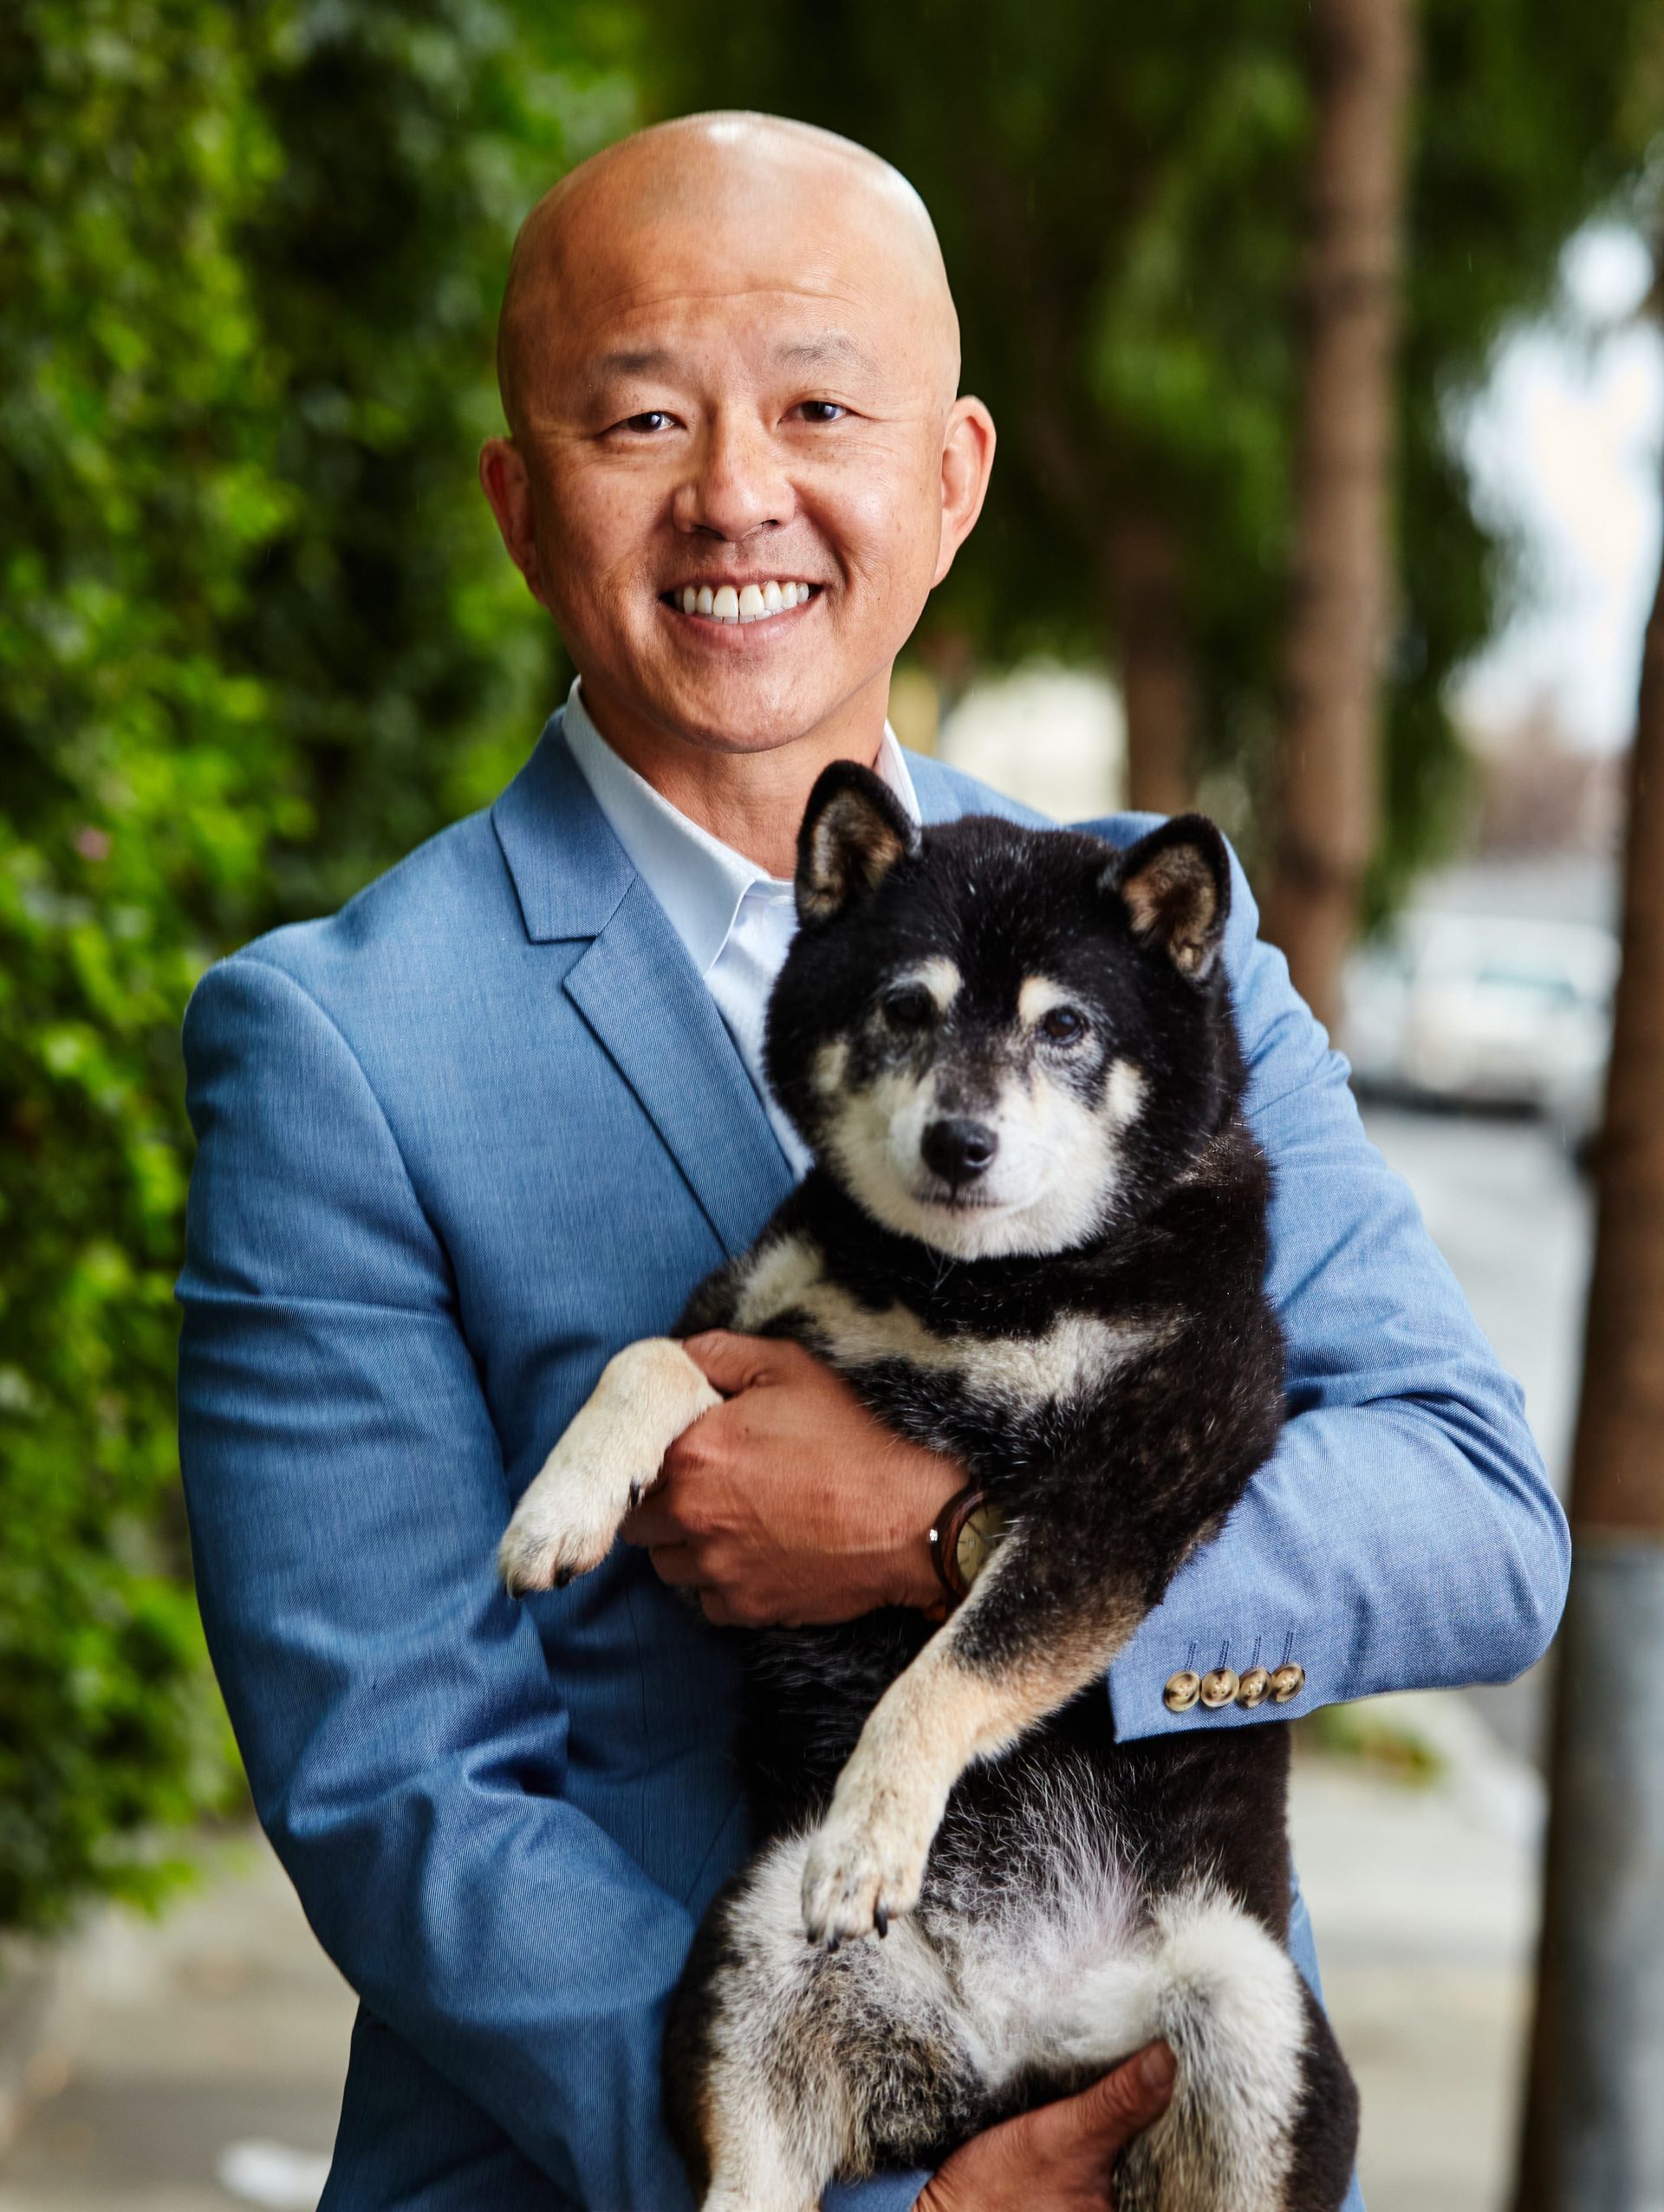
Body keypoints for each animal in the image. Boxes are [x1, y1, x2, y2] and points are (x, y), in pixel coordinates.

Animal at [500, 764, 1354, 2212]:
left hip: (1257, 2032)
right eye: (907, 1006)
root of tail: (1015, 2058)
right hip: (758, 1970)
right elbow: (645, 1359)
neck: (972, 1292)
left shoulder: (1127, 1495)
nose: (961, 1141)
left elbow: (949, 1671)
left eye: (1066, 1027)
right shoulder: (753, 1317)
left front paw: (873, 1828)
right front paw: (559, 1504)